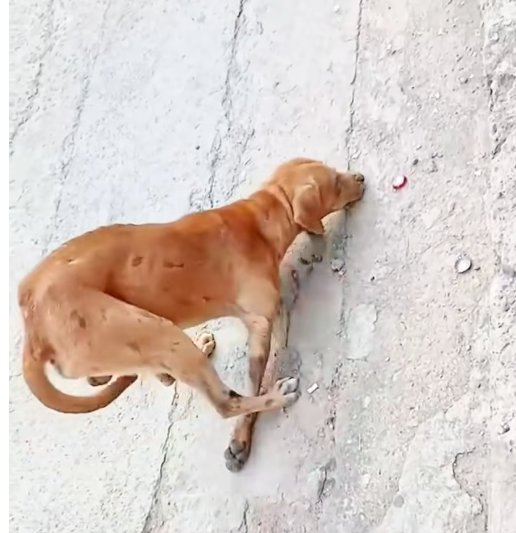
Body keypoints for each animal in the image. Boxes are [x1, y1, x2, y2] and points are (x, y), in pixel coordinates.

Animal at [18, 157, 365, 471]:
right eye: (335, 182)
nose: (360, 178)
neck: (260, 218)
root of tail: (33, 329)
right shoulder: (264, 321)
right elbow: (256, 379)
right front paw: (243, 436)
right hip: (153, 332)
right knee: (225, 403)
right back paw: (273, 396)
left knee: (132, 374)